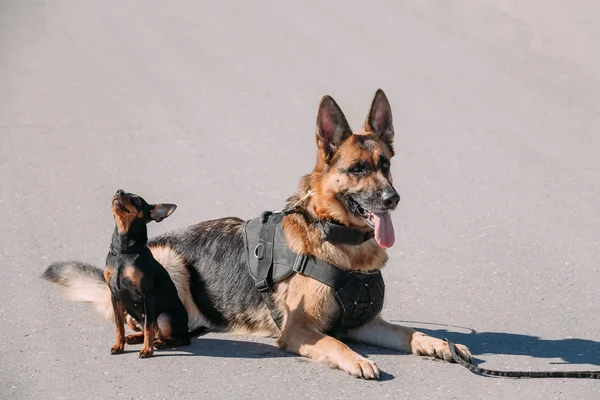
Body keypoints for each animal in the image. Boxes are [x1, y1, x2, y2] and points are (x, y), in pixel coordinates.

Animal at [105, 189, 193, 358]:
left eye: (137, 201)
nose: (119, 191)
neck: (124, 251)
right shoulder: (115, 296)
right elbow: (119, 326)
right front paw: (119, 346)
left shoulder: (148, 297)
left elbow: (148, 327)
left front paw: (147, 350)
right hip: (130, 317)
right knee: (149, 331)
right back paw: (134, 338)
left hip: (164, 317)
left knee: (180, 338)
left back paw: (161, 343)